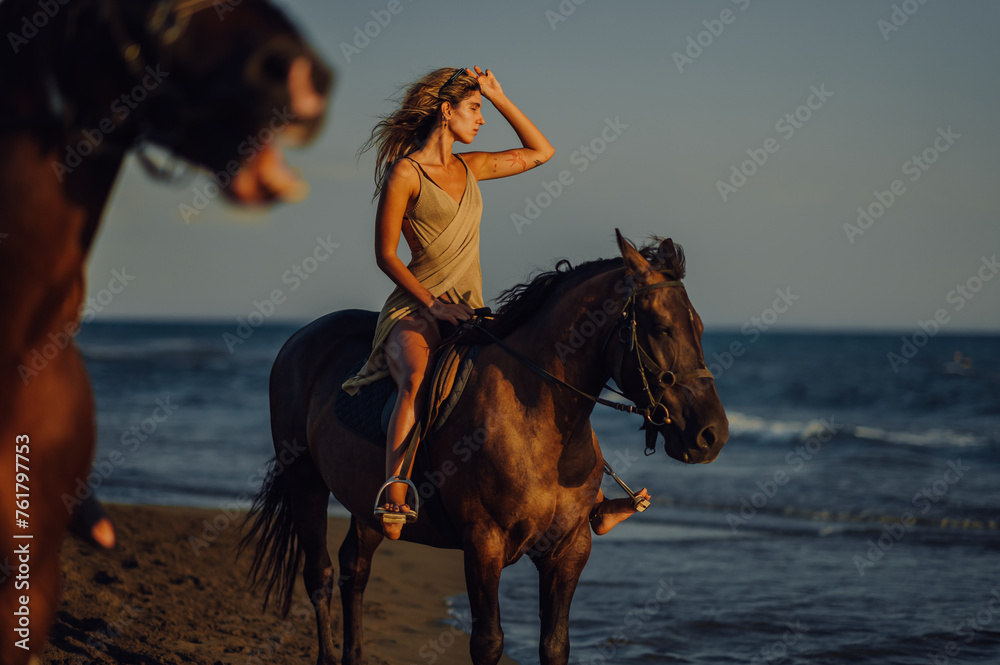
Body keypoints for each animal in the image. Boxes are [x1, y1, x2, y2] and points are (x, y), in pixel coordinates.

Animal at [242, 231, 728, 664]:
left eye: (701, 328)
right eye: (661, 328)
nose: (713, 434)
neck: (539, 426)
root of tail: (300, 338)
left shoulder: (569, 550)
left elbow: (555, 646)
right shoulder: (483, 544)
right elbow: (488, 644)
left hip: (368, 503)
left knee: (354, 570)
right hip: (305, 480)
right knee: (319, 575)